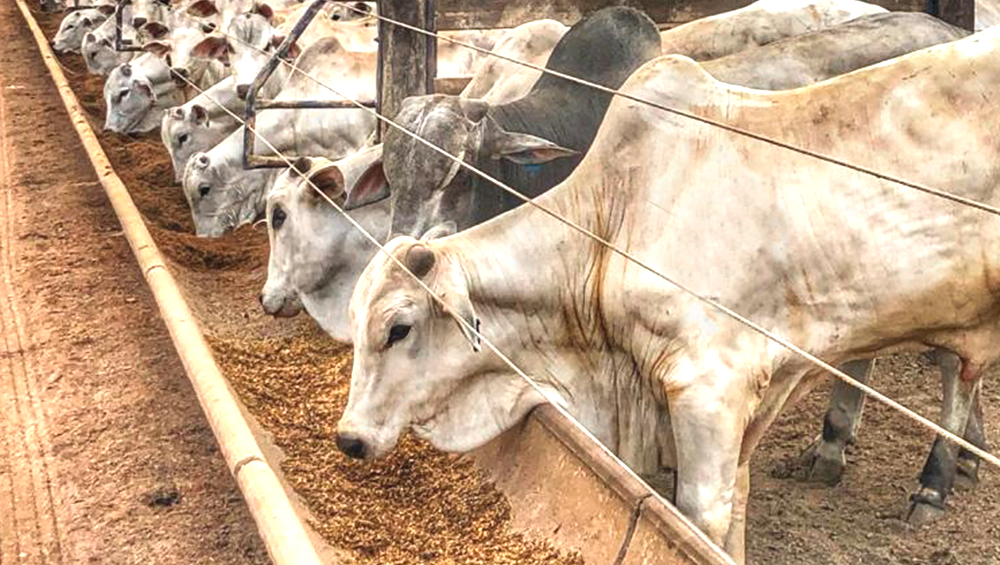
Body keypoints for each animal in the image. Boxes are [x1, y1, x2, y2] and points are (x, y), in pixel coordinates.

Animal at [334, 28, 1000, 560]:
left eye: (398, 328)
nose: (349, 438)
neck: (610, 230)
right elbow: (736, 509)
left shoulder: (711, 391)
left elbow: (702, 520)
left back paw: (934, 481)